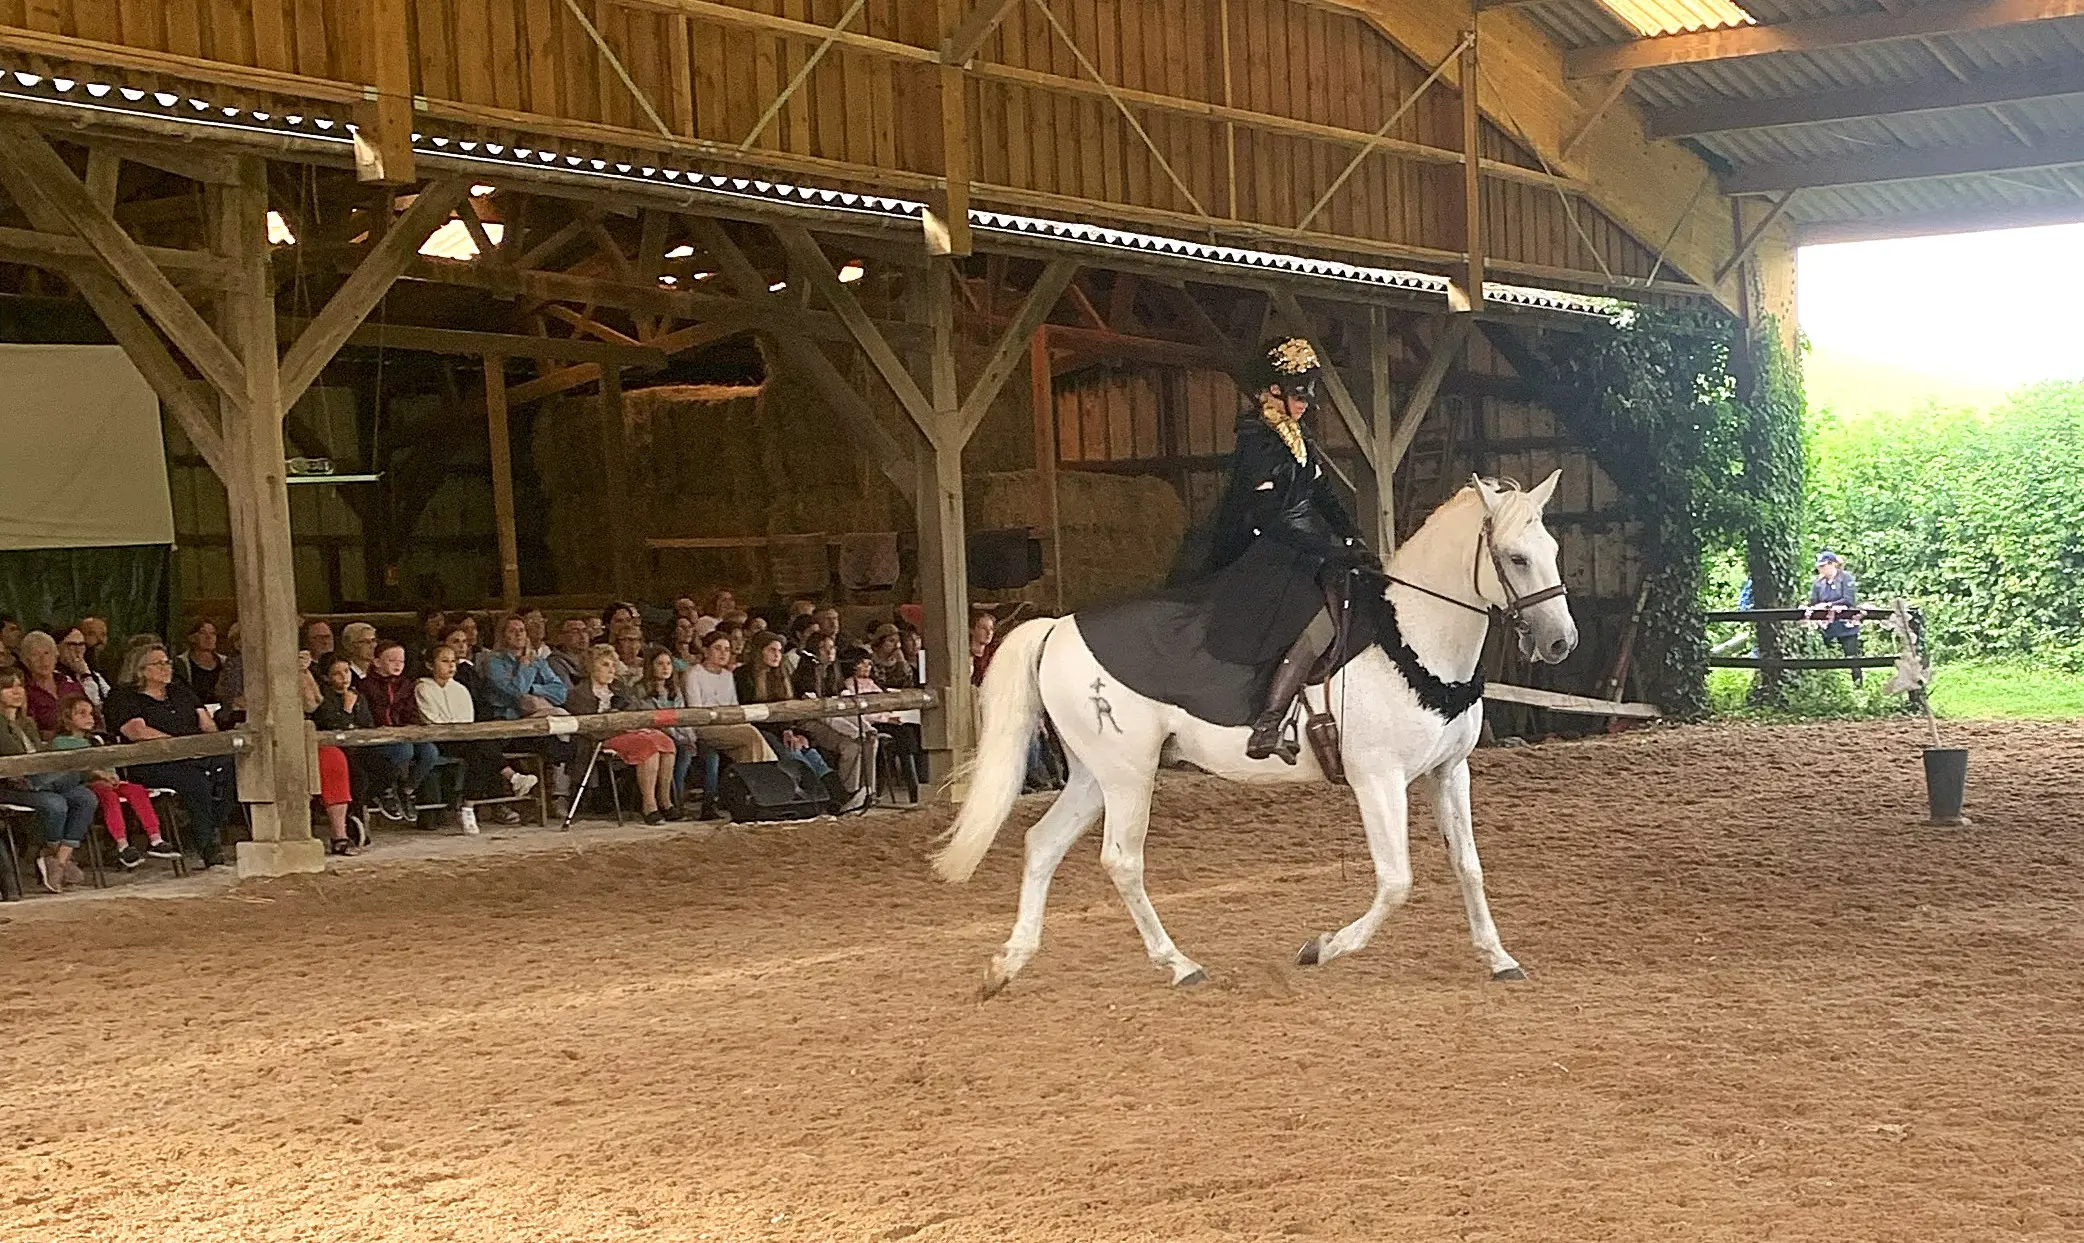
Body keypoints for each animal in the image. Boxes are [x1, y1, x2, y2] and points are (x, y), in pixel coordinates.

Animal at [932, 473, 1580, 996]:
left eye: (1551, 550)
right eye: (1516, 558)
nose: (1560, 642)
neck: (1411, 639)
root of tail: (1057, 627)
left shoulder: (1449, 771)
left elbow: (1468, 865)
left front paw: (1498, 958)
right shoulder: (1378, 778)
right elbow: (1397, 881)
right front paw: (1321, 948)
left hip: (1095, 776)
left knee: (1042, 844)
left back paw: (1008, 963)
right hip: (1127, 776)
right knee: (1122, 860)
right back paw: (1179, 965)